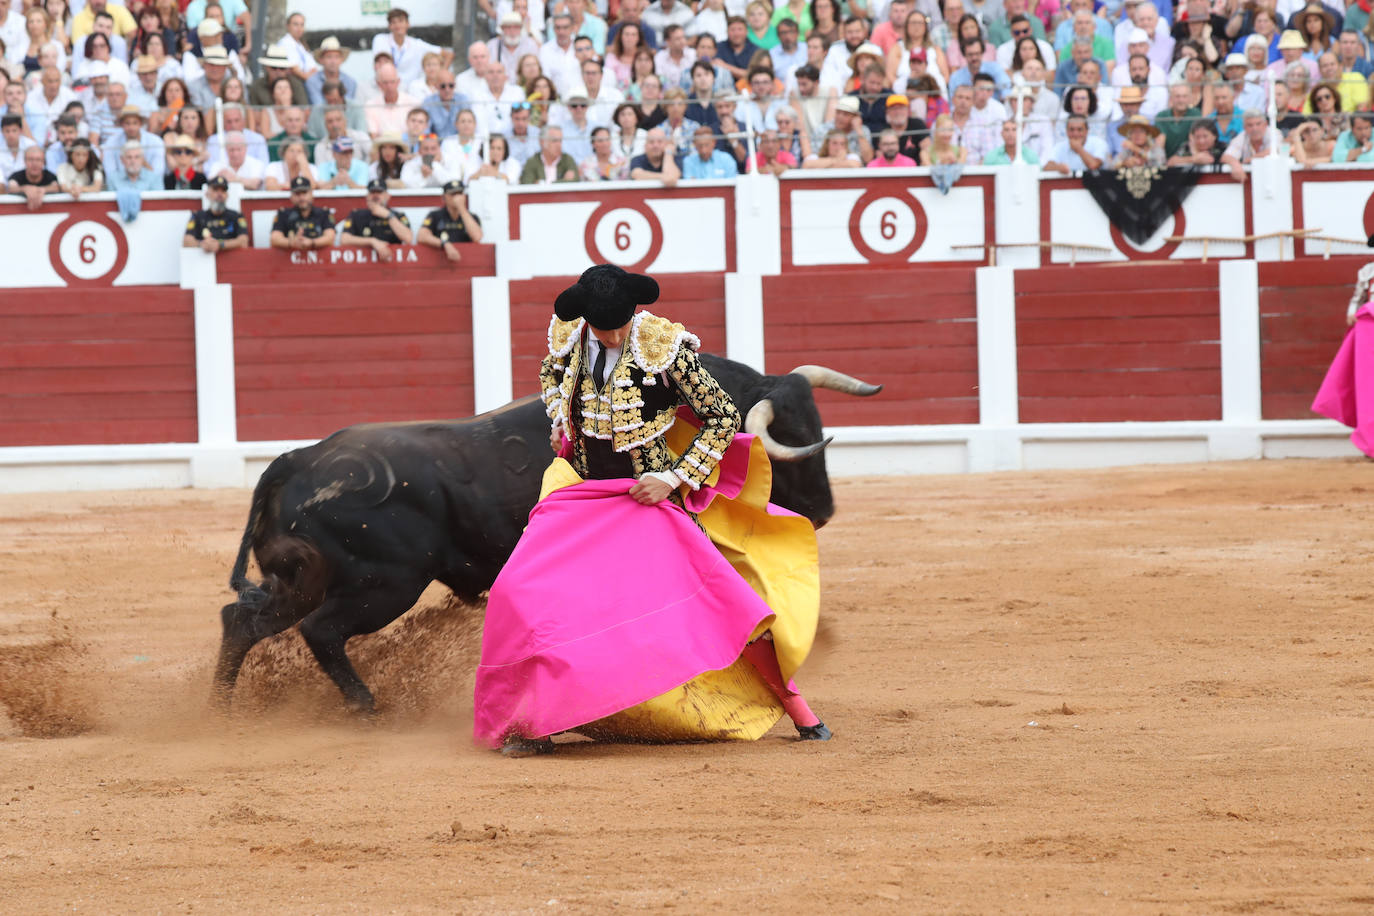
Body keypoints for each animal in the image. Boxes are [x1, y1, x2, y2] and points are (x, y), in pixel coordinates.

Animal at [214, 354, 879, 714]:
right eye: (791, 443)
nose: (822, 509)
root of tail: (298, 458)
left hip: (307, 579)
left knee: (243, 619)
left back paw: (223, 709)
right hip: (383, 584)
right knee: (320, 631)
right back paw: (366, 707)